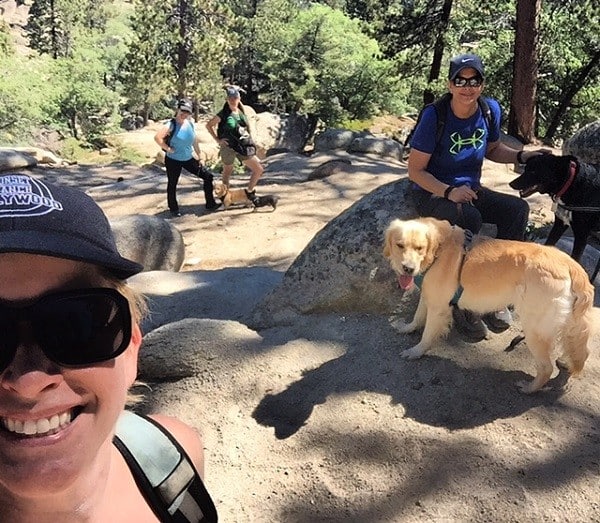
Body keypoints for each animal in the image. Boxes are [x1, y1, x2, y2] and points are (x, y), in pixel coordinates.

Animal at [382, 217, 592, 392]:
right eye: (400, 245)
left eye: (420, 248)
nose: (408, 269)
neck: (438, 250)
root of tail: (570, 264)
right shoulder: (428, 296)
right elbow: (417, 317)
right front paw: (408, 328)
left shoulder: (438, 307)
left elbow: (426, 335)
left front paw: (416, 352)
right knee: (583, 351)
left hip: (534, 329)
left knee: (546, 367)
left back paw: (529, 388)